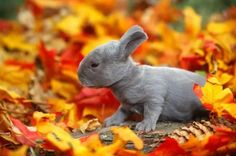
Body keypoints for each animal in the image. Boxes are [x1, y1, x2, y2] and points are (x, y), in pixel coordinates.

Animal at [78, 25, 206, 131]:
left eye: (94, 65)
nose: (79, 76)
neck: (130, 77)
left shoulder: (154, 97)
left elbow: (151, 112)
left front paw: (144, 126)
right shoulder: (126, 105)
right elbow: (121, 112)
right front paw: (109, 121)